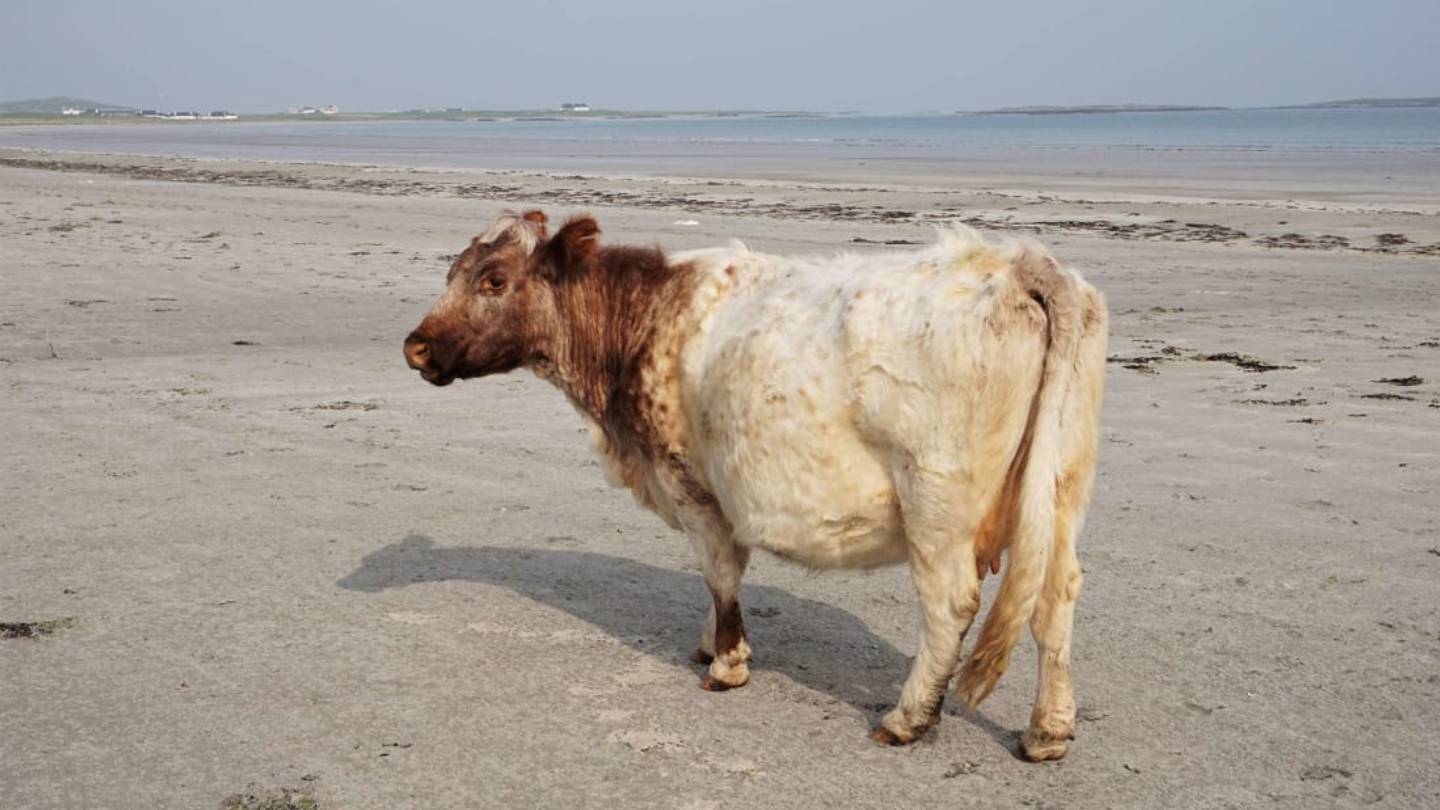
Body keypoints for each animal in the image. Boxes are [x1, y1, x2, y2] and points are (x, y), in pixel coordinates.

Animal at [403, 210, 1107, 760]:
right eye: (452, 272)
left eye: (494, 280)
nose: (416, 346)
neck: (641, 321)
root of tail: (1018, 262)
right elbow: (721, 578)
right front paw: (706, 642)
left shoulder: (689, 481)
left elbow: (720, 571)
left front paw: (726, 663)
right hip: (1061, 492)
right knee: (1057, 595)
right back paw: (1048, 731)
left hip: (936, 502)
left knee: (952, 603)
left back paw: (906, 719)